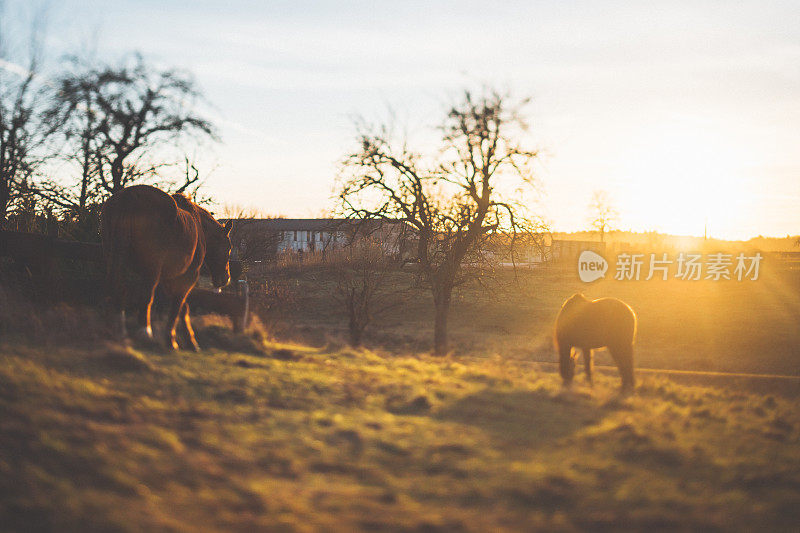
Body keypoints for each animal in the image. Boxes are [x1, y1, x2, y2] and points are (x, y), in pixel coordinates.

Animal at [100, 185, 231, 352]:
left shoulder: (168, 279)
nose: (225, 278)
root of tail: (129, 196)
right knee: (146, 296)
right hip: (151, 269)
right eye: (229, 248)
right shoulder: (187, 277)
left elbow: (182, 307)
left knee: (116, 289)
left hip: (115, 259)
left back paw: (116, 331)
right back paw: (145, 332)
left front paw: (186, 340)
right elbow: (178, 305)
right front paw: (174, 340)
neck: (199, 225)